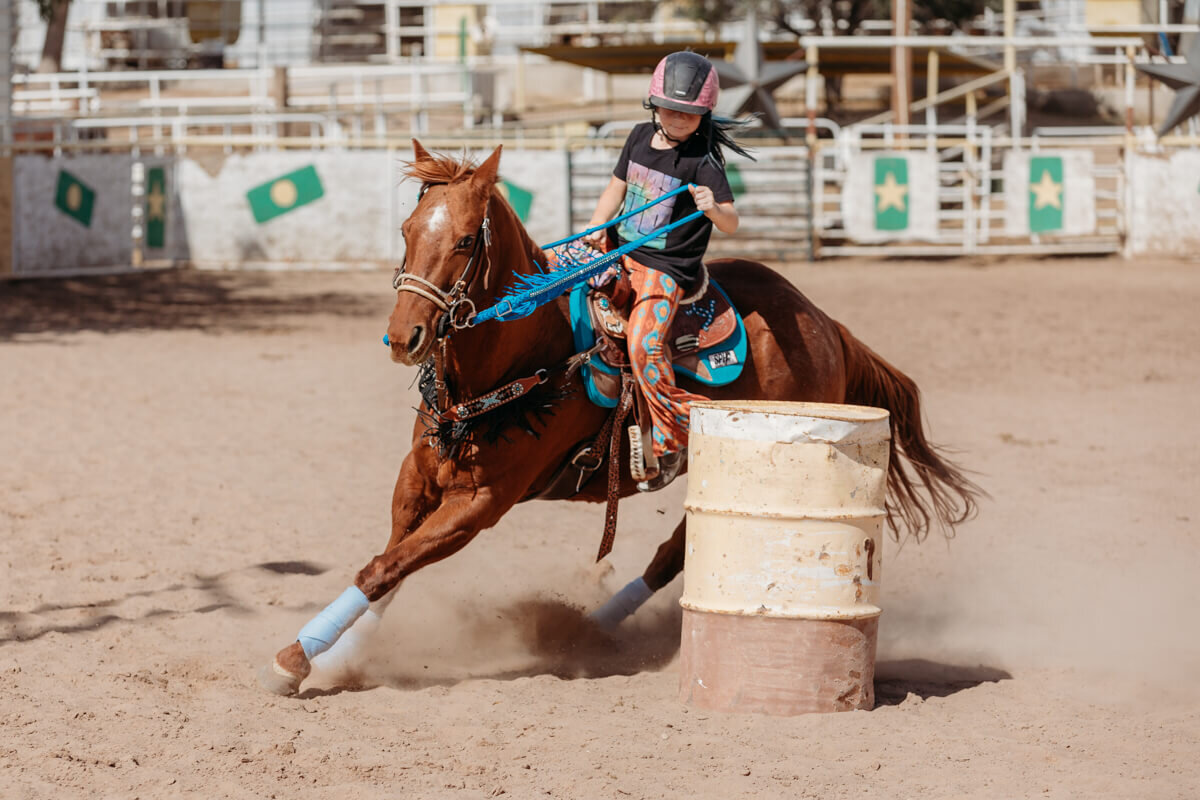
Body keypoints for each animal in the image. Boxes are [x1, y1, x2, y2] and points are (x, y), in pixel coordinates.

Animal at [258, 142, 979, 695]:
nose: (404, 336)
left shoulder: (482, 503)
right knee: (671, 556)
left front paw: (296, 659)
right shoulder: (416, 477)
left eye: (463, 241)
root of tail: (824, 323)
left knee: (674, 555)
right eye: (408, 232)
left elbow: (383, 569)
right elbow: (387, 566)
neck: (524, 352)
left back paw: (586, 632)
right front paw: (341, 653)